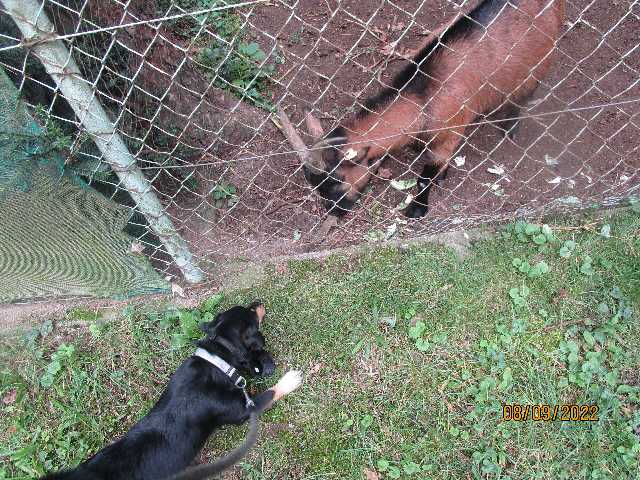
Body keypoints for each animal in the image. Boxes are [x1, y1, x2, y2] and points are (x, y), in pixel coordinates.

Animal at [41, 304, 304, 480]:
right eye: (251, 313)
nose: (259, 301)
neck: (217, 361)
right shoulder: (243, 411)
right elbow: (269, 393)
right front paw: (290, 380)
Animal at [292, 0, 564, 216]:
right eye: (314, 183)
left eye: (336, 180)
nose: (334, 211)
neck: (423, 98)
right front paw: (441, 175)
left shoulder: (450, 133)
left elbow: (425, 178)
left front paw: (417, 208)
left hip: (539, 65)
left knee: (523, 96)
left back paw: (510, 127)